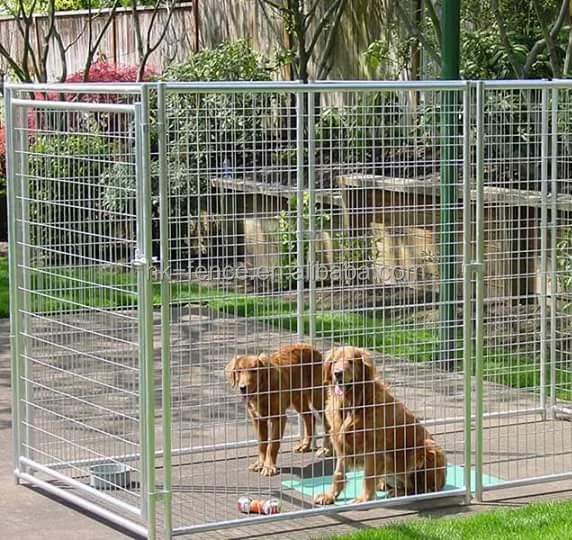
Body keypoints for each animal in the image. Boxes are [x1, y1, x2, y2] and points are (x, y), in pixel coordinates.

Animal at [223, 344, 330, 474]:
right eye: (238, 371)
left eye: (254, 371)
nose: (243, 388)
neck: (263, 392)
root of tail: (310, 346)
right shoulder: (257, 419)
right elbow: (262, 443)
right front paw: (259, 463)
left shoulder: (279, 418)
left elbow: (272, 444)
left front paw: (269, 467)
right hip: (297, 397)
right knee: (309, 416)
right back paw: (305, 445)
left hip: (317, 395)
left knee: (326, 420)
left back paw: (326, 449)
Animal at [312, 348, 446, 504]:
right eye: (334, 362)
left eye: (351, 362)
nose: (338, 373)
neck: (353, 403)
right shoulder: (342, 446)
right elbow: (338, 473)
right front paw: (329, 495)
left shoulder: (373, 449)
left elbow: (368, 477)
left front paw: (364, 498)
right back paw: (385, 486)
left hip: (426, 448)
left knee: (418, 488)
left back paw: (398, 492)